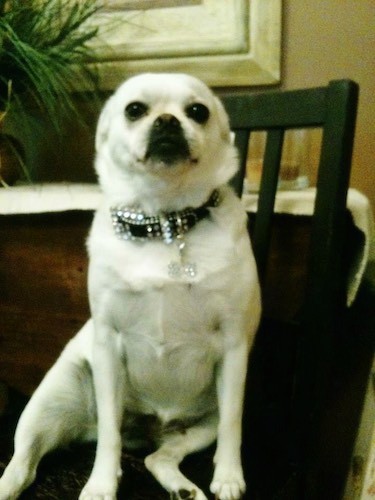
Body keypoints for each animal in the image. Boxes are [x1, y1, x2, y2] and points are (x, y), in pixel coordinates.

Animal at [0, 72, 262, 498]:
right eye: (134, 110)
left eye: (198, 111)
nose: (168, 120)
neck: (164, 222)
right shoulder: (109, 347)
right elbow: (109, 435)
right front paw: (101, 484)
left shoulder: (234, 349)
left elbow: (232, 424)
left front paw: (228, 476)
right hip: (45, 405)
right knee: (23, 466)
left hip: (197, 428)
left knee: (160, 457)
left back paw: (184, 488)